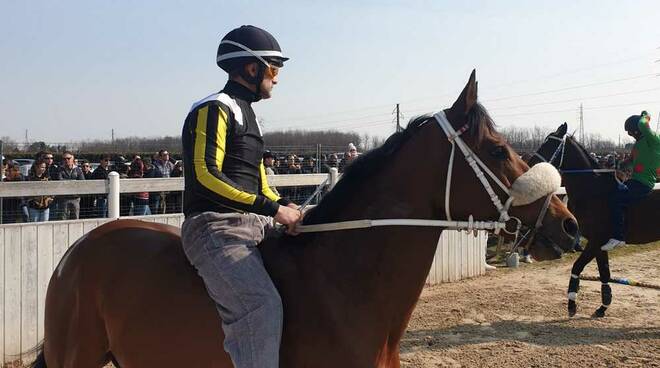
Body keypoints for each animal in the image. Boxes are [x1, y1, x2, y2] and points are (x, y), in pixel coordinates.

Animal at [524, 125, 660, 318]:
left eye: (550, 143)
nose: (529, 165)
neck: (593, 191)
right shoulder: (600, 246)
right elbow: (604, 273)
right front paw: (602, 307)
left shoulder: (596, 241)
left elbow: (577, 267)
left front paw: (572, 305)